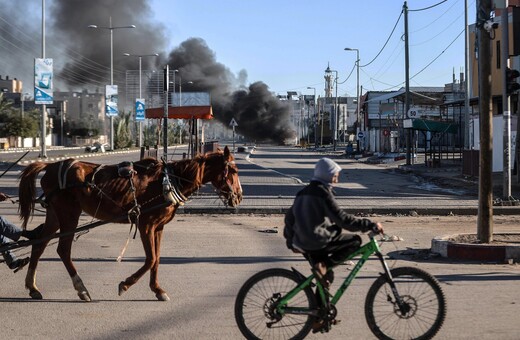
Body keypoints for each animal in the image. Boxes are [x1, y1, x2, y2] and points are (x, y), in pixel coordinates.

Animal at [17, 147, 242, 302]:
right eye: (233, 170)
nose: (239, 196)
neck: (167, 181)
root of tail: (50, 166)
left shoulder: (159, 227)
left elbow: (157, 259)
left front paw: (158, 290)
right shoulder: (145, 225)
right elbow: (150, 259)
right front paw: (125, 284)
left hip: (55, 215)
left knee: (39, 244)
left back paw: (33, 287)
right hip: (69, 214)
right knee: (63, 249)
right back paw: (81, 288)